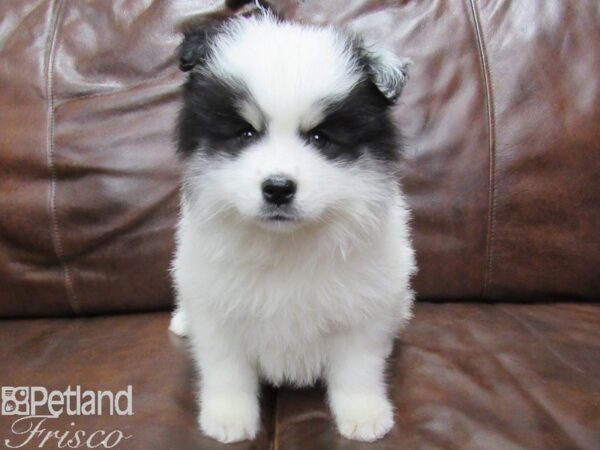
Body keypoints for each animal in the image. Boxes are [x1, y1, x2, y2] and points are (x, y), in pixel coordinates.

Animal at [170, 10, 418, 442]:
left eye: (320, 137)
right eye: (245, 132)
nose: (278, 188)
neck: (286, 244)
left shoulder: (361, 311)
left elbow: (357, 370)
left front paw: (364, 414)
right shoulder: (217, 309)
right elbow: (226, 370)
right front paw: (229, 418)